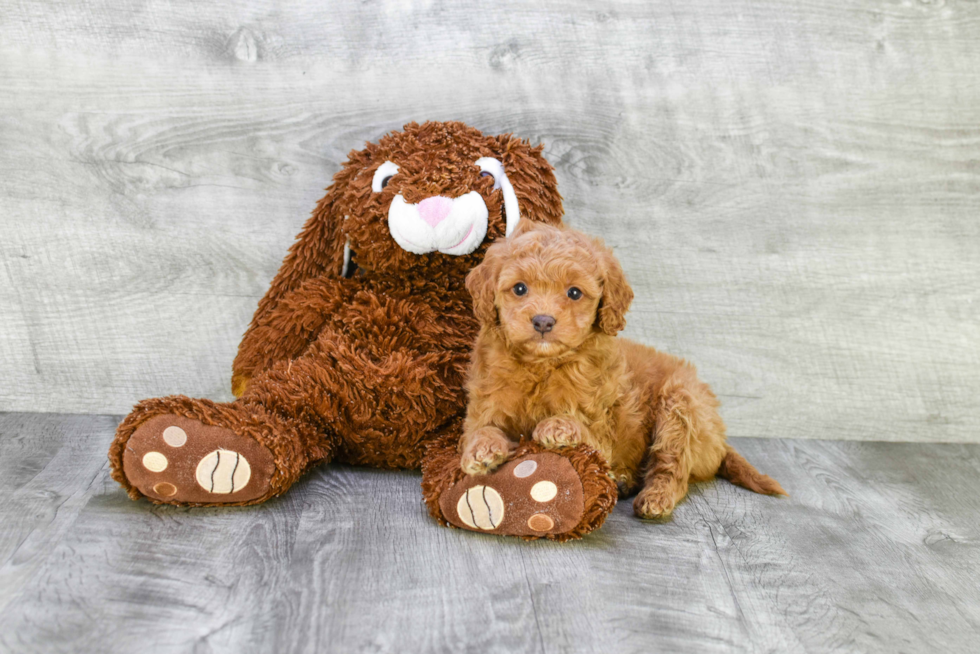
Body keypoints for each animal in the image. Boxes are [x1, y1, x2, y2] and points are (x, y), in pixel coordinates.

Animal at [460, 223, 788, 520]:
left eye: (574, 293)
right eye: (519, 288)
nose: (543, 321)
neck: (542, 365)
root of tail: (719, 438)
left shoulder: (600, 427)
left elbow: (583, 429)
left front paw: (559, 426)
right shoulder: (483, 406)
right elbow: (481, 429)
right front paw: (481, 450)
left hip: (680, 405)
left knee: (672, 467)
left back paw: (655, 498)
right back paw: (624, 480)